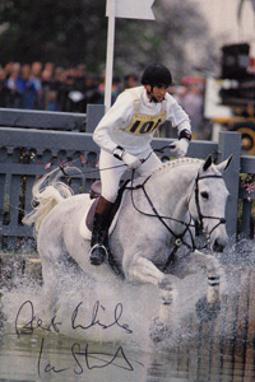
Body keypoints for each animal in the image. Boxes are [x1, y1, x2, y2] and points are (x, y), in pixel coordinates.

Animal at [23, 155, 231, 326]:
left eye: (227, 195)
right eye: (205, 194)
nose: (220, 242)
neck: (162, 213)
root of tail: (58, 207)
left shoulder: (177, 264)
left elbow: (212, 265)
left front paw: (211, 307)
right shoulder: (133, 267)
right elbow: (165, 283)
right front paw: (160, 328)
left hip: (82, 273)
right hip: (55, 271)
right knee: (47, 305)